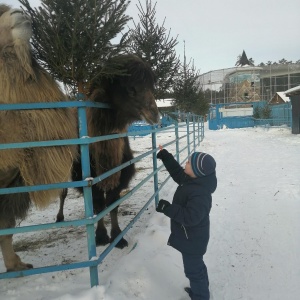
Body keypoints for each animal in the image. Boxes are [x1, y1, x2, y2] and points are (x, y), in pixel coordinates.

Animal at [56, 54, 159, 248]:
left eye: (151, 86)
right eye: (130, 87)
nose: (154, 114)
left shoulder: (121, 174)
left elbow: (113, 204)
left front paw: (118, 236)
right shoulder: (88, 177)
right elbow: (99, 205)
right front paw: (101, 236)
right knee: (62, 191)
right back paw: (59, 217)